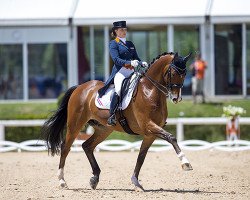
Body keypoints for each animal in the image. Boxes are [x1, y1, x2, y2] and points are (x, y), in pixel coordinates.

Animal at [42, 51, 192, 191]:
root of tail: (79, 87)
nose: (176, 98)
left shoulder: (150, 134)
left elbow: (141, 157)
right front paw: (185, 163)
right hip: (75, 125)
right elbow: (171, 137)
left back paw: (94, 178)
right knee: (65, 148)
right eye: (174, 72)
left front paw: (136, 182)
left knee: (87, 146)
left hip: (104, 129)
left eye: (185, 74)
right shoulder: (148, 125)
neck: (149, 91)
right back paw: (62, 181)